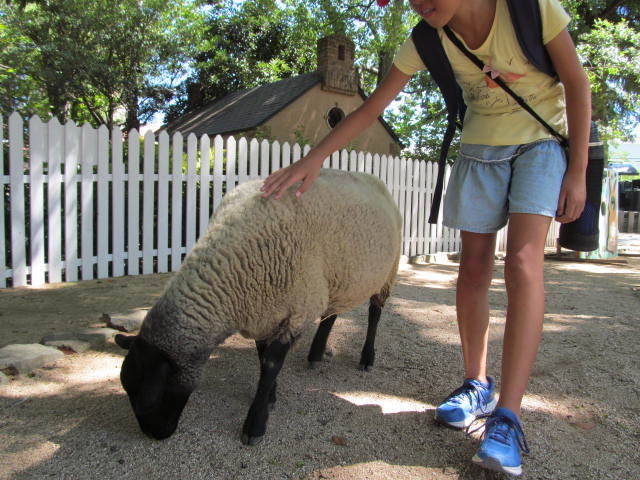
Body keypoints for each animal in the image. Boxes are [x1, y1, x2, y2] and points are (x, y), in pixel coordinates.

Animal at [115, 170, 402, 446]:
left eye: (148, 399)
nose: (155, 434)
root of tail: (375, 180)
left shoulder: (297, 310)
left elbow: (271, 363)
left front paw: (255, 424)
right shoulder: (263, 310)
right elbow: (262, 357)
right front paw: (271, 396)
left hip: (388, 270)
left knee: (374, 313)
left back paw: (366, 357)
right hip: (340, 277)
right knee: (332, 313)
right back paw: (316, 354)